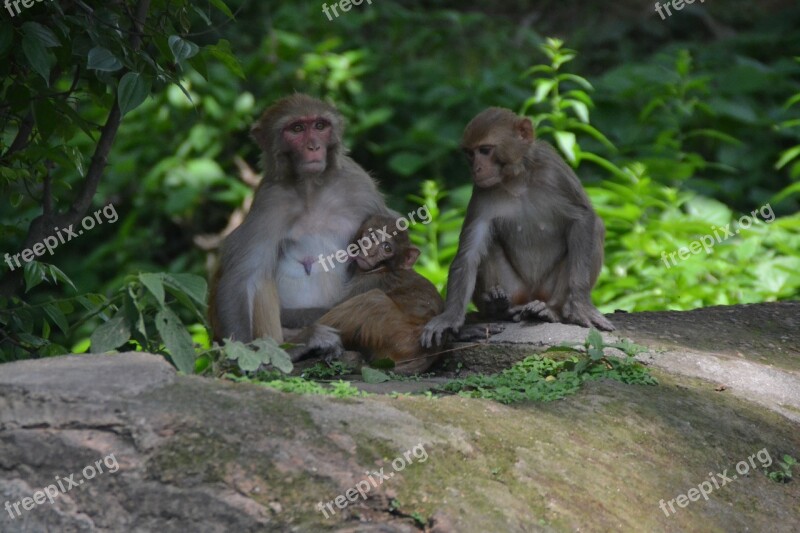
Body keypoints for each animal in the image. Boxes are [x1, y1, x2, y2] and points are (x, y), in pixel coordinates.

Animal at [211, 93, 390, 342]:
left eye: (319, 126)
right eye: (296, 129)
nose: (313, 146)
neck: (311, 188)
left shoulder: (359, 184)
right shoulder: (269, 201)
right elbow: (242, 277)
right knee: (260, 278)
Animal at [422, 108, 616, 350]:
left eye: (485, 150)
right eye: (469, 153)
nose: (476, 169)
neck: (517, 178)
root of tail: (531, 296)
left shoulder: (554, 170)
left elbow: (583, 217)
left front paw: (580, 305)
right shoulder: (481, 191)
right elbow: (469, 254)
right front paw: (449, 318)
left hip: (547, 290)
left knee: (595, 228)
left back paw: (549, 311)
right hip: (516, 289)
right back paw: (499, 307)